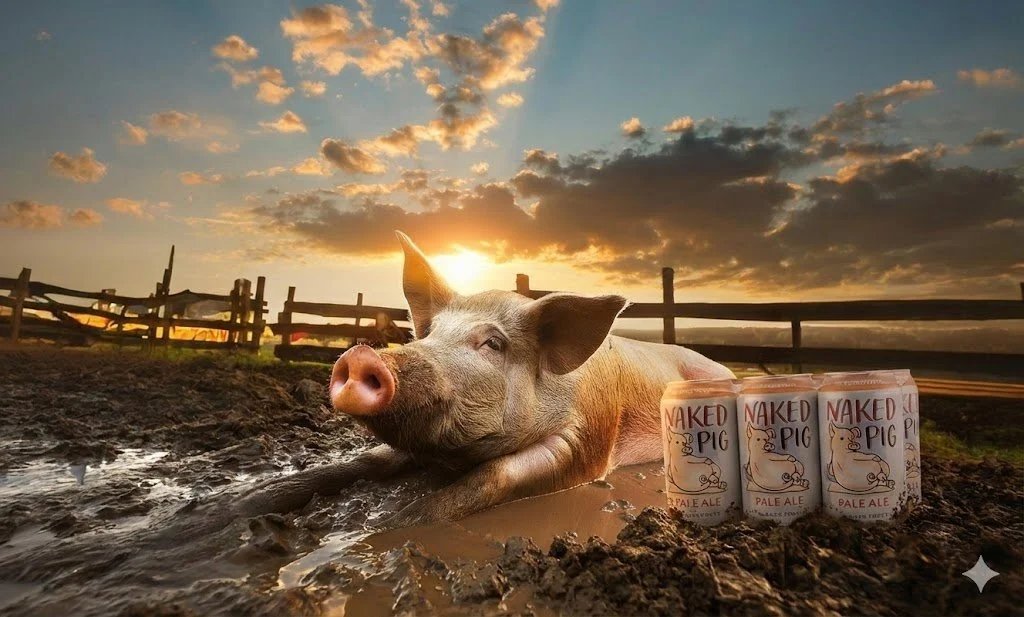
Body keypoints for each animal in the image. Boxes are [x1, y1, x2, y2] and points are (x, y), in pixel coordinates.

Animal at [237, 232, 734, 527]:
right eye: (431, 333)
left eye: (493, 343)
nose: (361, 355)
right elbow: (366, 461)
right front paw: (237, 507)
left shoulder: (589, 439)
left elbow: (493, 476)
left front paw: (388, 526)